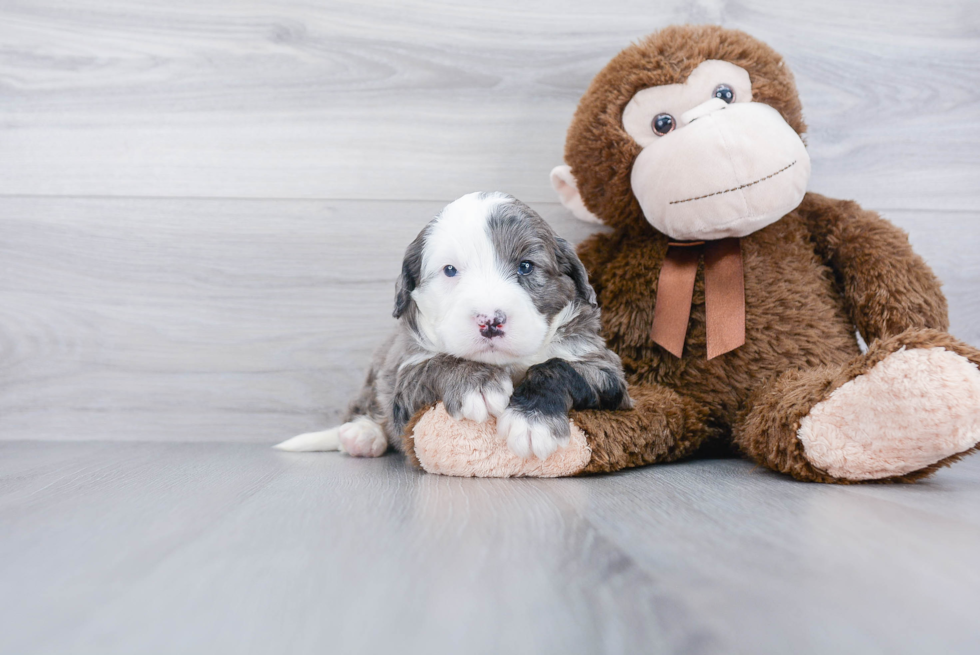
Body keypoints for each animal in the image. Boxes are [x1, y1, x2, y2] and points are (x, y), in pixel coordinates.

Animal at [272, 192, 632, 462]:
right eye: (449, 270)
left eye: (526, 267)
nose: (490, 321)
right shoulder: (406, 373)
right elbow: (433, 363)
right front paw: (476, 382)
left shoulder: (604, 369)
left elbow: (557, 367)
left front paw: (533, 422)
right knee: (367, 405)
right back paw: (362, 435)